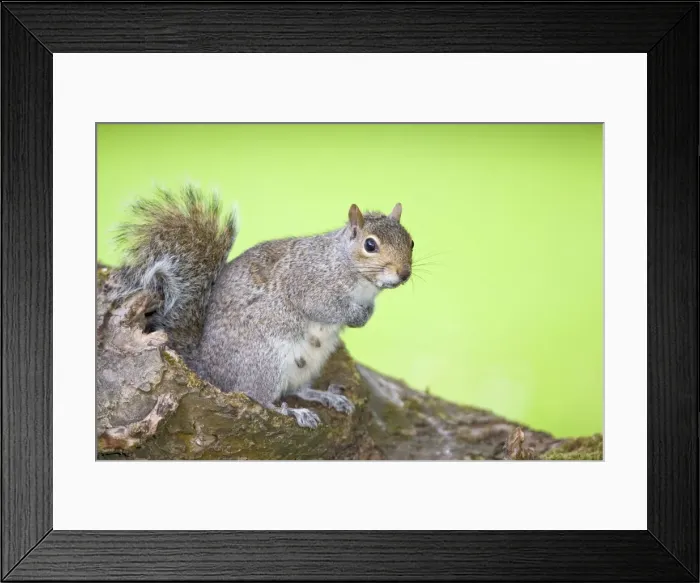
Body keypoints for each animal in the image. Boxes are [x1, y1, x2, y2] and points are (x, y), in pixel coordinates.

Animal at [106, 185, 414, 428]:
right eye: (370, 245)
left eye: (410, 241)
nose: (404, 274)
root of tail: (210, 371)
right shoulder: (308, 283)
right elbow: (322, 307)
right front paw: (355, 315)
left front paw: (366, 314)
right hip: (264, 361)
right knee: (257, 397)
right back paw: (293, 413)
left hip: (309, 364)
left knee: (298, 390)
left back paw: (324, 396)